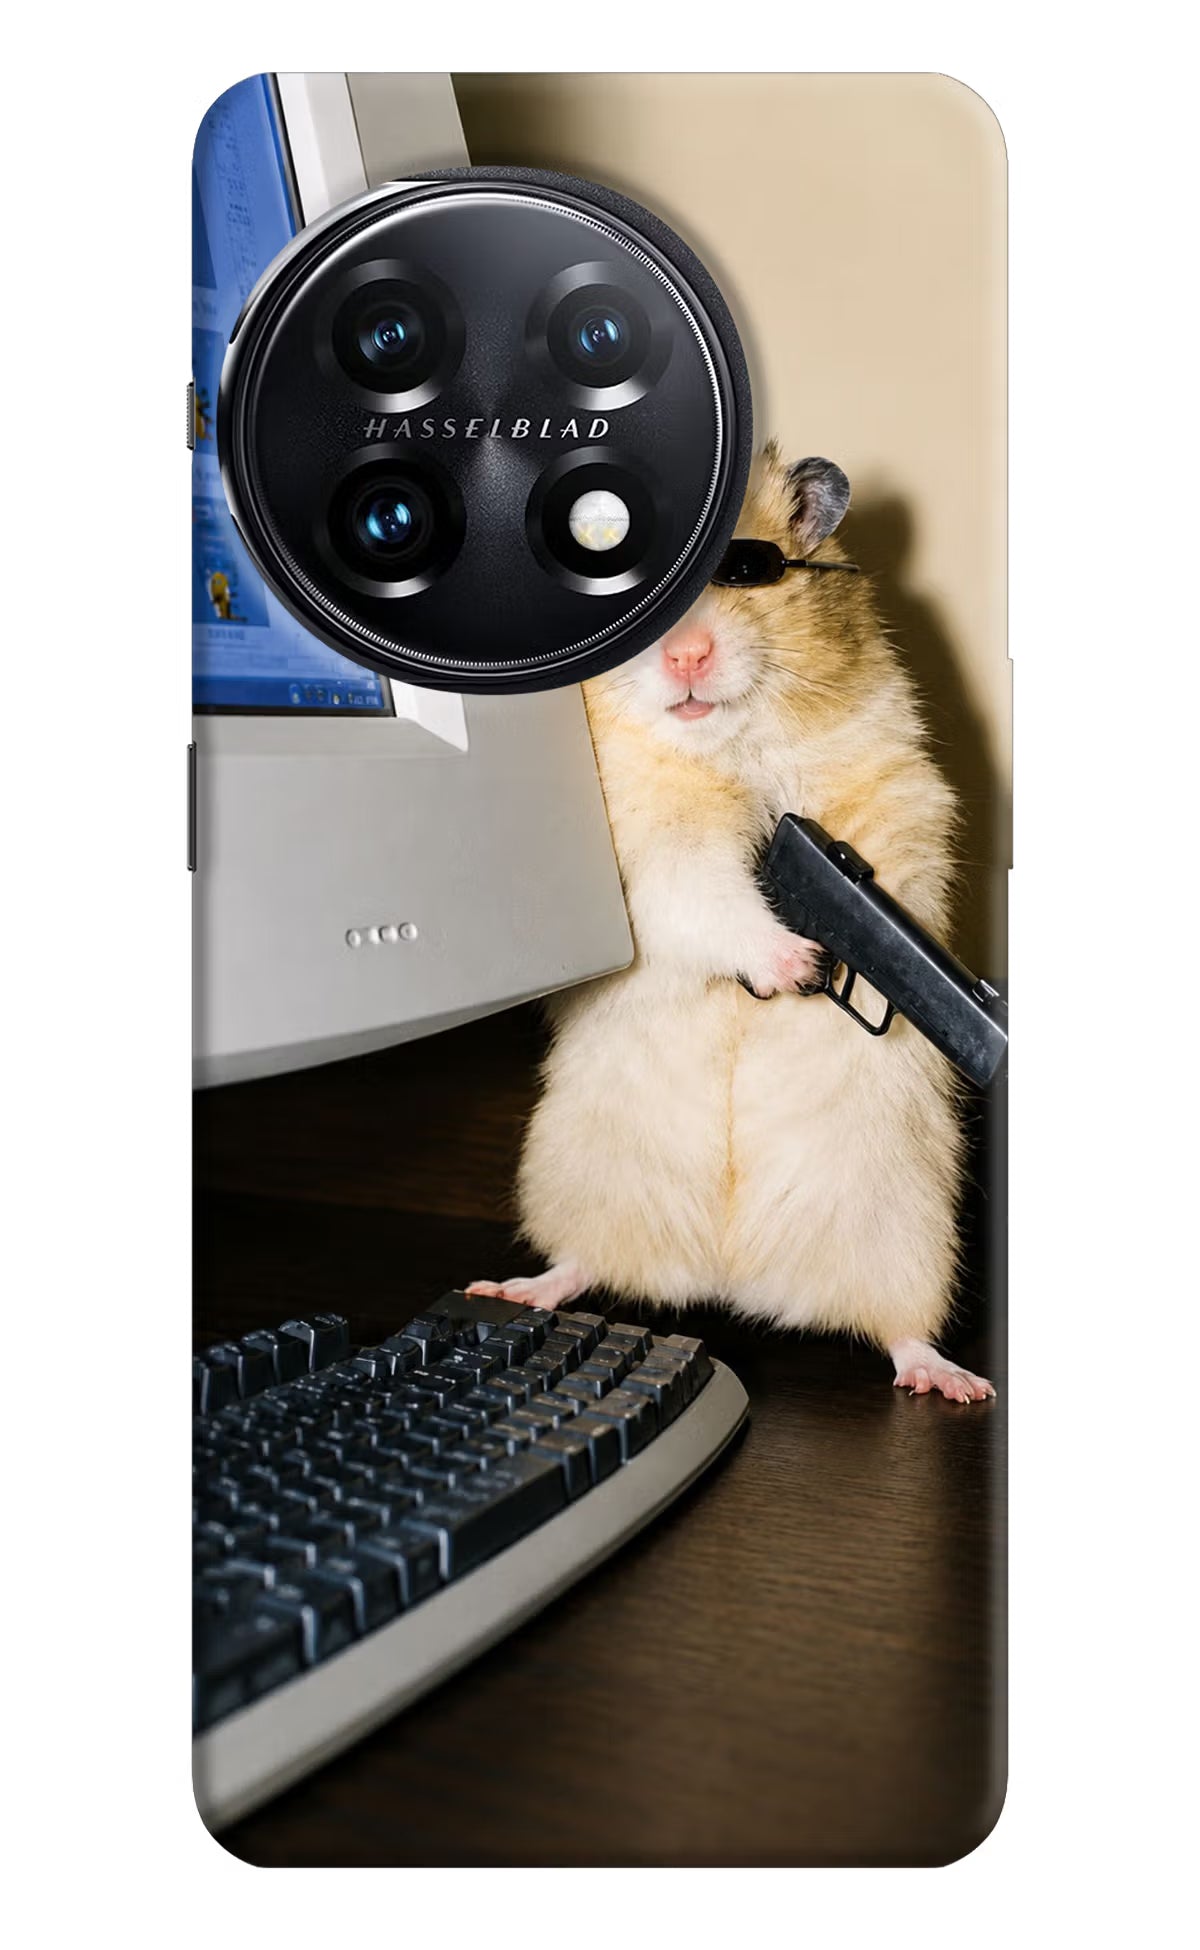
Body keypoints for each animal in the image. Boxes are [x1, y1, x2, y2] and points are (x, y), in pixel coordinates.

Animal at [469, 444, 994, 1403]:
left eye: (748, 571)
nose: (686, 656)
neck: (729, 745)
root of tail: (730, 1276)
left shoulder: (896, 791)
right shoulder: (652, 851)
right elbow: (708, 895)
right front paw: (797, 964)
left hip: (908, 1229)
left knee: (900, 1329)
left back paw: (953, 1381)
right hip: (579, 1176)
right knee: (582, 1263)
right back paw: (514, 1288)